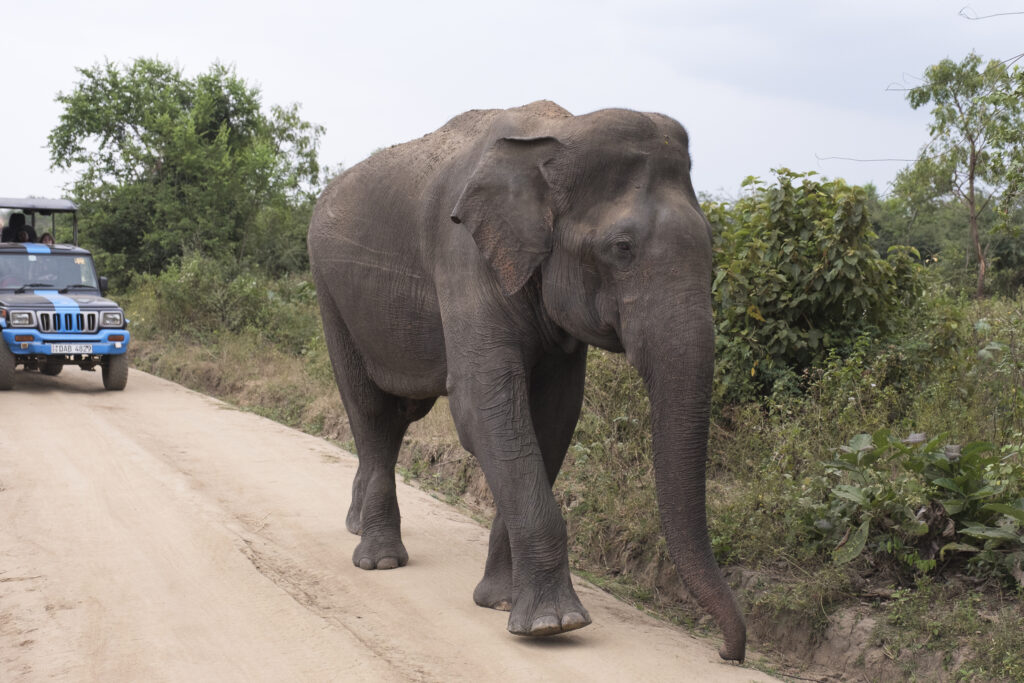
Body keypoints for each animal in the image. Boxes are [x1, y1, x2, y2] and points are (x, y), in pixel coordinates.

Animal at [307, 100, 746, 662]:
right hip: (330, 291)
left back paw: (358, 526)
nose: (728, 653)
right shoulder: (464, 254)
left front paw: (500, 602)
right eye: (622, 247)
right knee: (371, 411)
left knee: (401, 413)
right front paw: (553, 624)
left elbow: (554, 415)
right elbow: (484, 406)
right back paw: (379, 560)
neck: (561, 134)